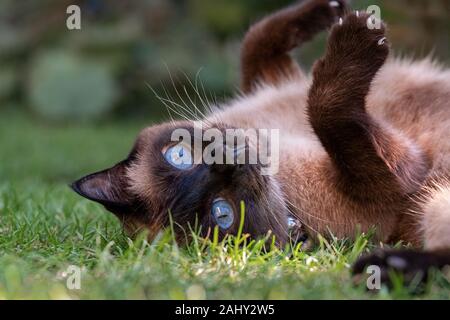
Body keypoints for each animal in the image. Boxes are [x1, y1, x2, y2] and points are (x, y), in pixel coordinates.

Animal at [72, 0, 450, 288]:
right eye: (222, 213)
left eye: (178, 156)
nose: (227, 160)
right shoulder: (394, 178)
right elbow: (325, 109)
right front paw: (360, 33)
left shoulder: (273, 82)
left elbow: (254, 41)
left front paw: (330, 11)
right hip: (436, 200)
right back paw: (381, 270)